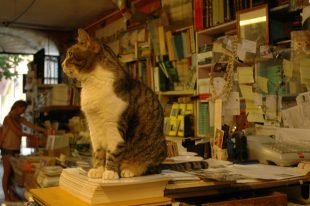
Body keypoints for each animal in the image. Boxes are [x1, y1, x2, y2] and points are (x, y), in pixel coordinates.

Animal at [62, 28, 167, 179]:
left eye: (70, 54)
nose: (62, 64)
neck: (92, 82)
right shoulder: (93, 126)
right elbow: (98, 151)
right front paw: (98, 170)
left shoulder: (114, 125)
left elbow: (113, 151)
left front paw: (110, 172)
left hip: (156, 150)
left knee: (151, 167)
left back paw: (130, 170)